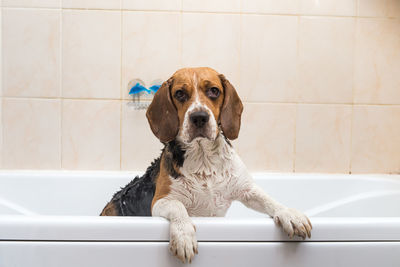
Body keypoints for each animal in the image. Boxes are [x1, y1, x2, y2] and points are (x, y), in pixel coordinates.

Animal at [101, 67, 312, 264]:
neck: (204, 159)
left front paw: (291, 215)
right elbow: (179, 207)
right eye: (180, 93)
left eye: (213, 91)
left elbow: (270, 200)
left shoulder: (246, 189)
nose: (199, 117)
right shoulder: (161, 201)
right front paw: (184, 236)